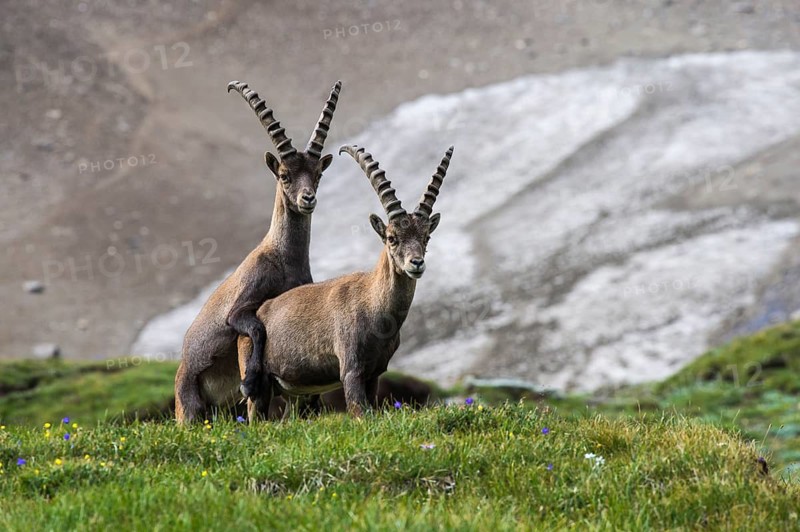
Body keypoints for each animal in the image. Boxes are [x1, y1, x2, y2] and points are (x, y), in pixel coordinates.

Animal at [174, 80, 343, 423]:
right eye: (285, 175)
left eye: (317, 174)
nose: (308, 198)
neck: (283, 260)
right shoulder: (239, 309)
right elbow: (255, 327)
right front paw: (251, 381)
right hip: (189, 406)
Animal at [237, 144, 454, 419]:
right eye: (392, 238)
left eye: (426, 237)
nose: (416, 263)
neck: (374, 304)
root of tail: (257, 312)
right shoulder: (352, 371)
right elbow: (359, 413)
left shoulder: (374, 374)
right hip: (259, 386)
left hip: (295, 393)